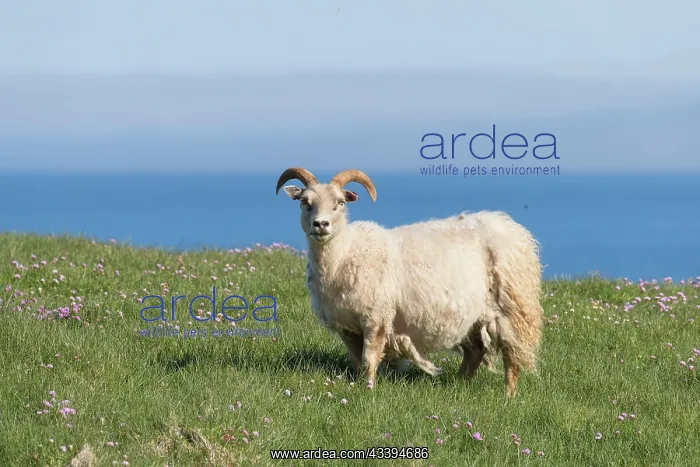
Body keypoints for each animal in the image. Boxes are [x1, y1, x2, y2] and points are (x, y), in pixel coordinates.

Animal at [275, 167, 543, 396]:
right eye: (304, 202)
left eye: (340, 203)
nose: (321, 225)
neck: (345, 254)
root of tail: (511, 227)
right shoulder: (347, 326)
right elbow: (356, 361)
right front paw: (359, 385)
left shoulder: (376, 316)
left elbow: (369, 359)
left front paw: (369, 390)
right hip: (473, 315)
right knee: (475, 351)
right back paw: (460, 385)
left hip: (511, 306)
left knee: (512, 354)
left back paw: (508, 395)